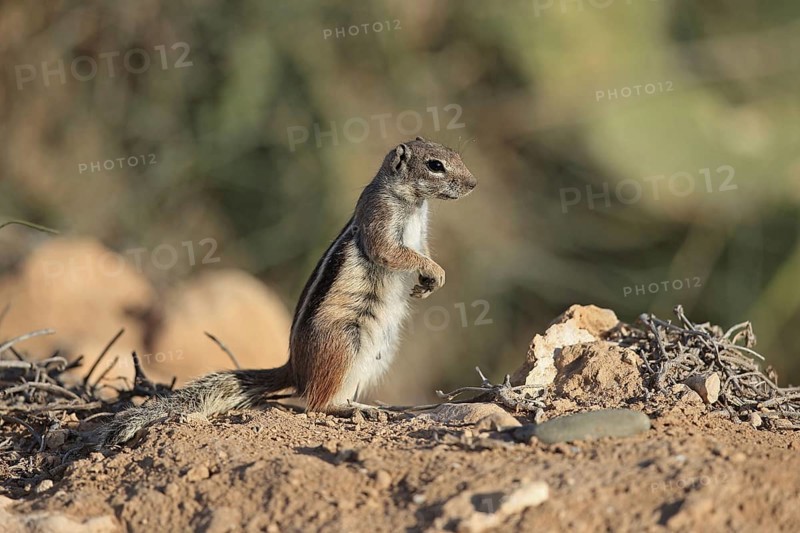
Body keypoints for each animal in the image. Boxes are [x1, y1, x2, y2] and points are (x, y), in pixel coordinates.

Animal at [99, 137, 477, 445]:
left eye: (457, 154)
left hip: (379, 353)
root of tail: (294, 367)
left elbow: (421, 251)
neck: (414, 203)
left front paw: (430, 281)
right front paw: (433, 272)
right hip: (344, 342)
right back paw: (352, 409)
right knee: (316, 404)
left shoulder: (421, 234)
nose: (473, 184)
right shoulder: (379, 220)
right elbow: (393, 252)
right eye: (436, 165)